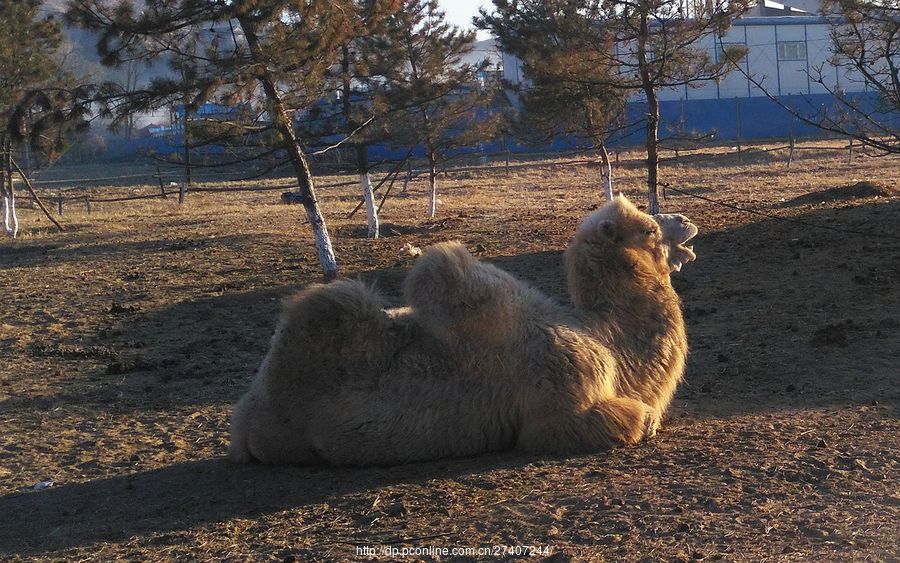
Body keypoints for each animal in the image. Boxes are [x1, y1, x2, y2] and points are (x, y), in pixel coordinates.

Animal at [229, 195, 700, 468]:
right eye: (649, 229)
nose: (686, 220)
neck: (607, 340)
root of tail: (244, 420)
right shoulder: (562, 409)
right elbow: (641, 419)